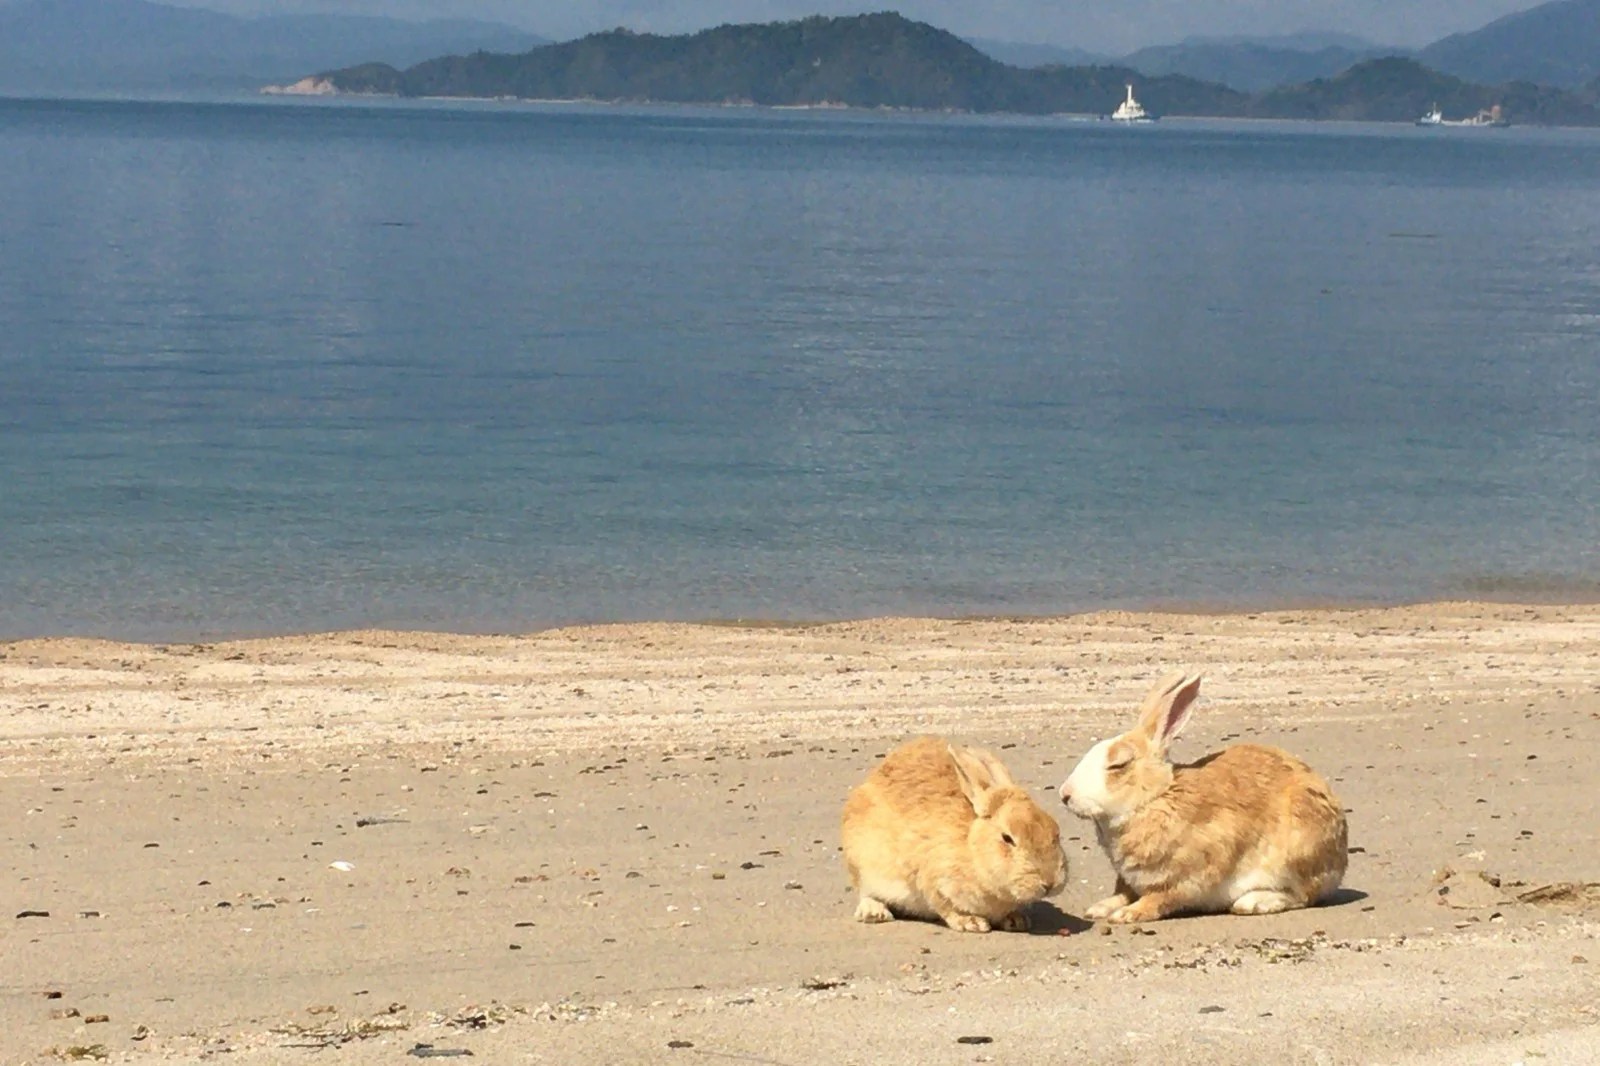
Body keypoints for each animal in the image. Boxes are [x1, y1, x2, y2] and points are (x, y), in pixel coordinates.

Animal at [841, 736, 1068, 933]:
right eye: (1007, 838)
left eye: (1056, 831)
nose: (1050, 883)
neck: (973, 850)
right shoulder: (931, 877)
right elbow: (945, 905)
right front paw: (972, 922)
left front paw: (1016, 920)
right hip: (862, 864)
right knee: (866, 892)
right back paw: (874, 913)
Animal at [1058, 671, 1348, 924]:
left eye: (1118, 765)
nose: (1065, 795)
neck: (1156, 798)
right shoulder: (1130, 879)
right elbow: (1121, 894)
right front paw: (1099, 908)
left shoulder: (1185, 877)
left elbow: (1159, 899)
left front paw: (1128, 915)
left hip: (1296, 855)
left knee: (1302, 896)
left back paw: (1253, 902)